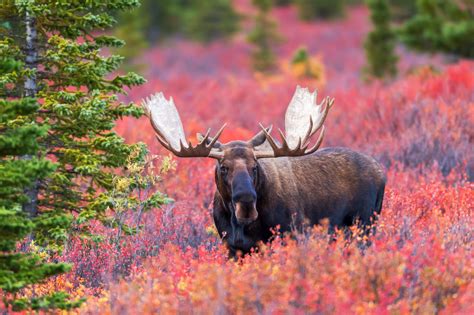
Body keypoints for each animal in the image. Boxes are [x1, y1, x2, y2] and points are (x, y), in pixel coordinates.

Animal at [143, 87, 386, 256]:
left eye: (254, 166)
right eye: (224, 167)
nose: (246, 204)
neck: (240, 227)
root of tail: (381, 171)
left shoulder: (291, 235)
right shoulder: (232, 248)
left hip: (364, 224)